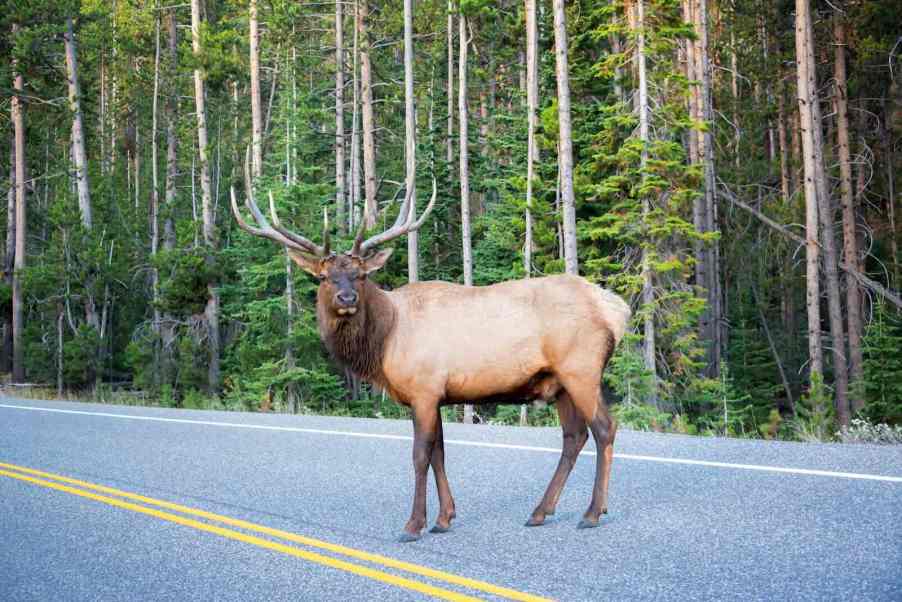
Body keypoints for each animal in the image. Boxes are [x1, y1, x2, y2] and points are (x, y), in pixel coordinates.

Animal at [231, 163, 631, 542]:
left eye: (361, 274)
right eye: (325, 277)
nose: (346, 298)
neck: (384, 341)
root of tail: (617, 309)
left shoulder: (423, 390)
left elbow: (420, 455)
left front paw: (413, 524)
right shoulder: (435, 394)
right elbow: (439, 453)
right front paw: (443, 519)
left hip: (580, 368)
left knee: (604, 428)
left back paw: (592, 513)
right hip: (558, 382)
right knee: (573, 437)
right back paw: (541, 511)